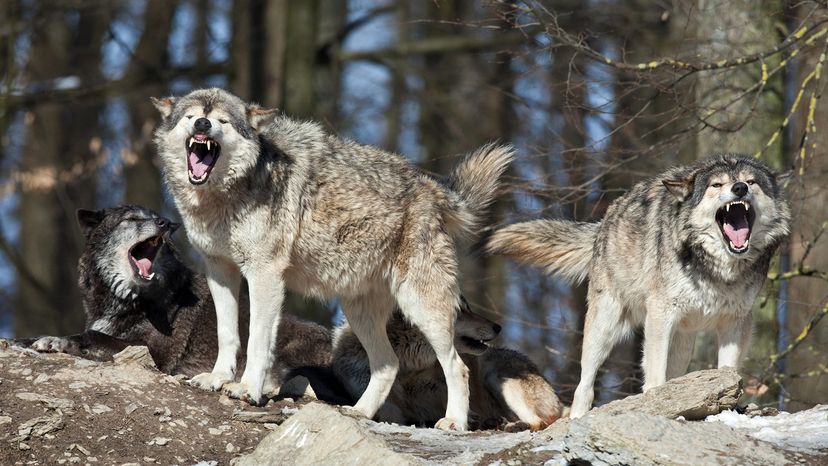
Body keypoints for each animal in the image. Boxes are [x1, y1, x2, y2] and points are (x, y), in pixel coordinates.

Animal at [11, 205, 332, 396]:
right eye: (132, 219)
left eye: (155, 216)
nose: (165, 223)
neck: (129, 300)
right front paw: (32, 340)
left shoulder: (155, 354)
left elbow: (92, 336)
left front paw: (57, 342)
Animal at [150, 87, 512, 430]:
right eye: (192, 116)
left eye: (222, 121)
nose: (202, 124)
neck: (223, 195)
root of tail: (433, 189)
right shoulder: (219, 270)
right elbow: (227, 333)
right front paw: (217, 378)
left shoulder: (264, 274)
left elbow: (257, 340)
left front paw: (247, 388)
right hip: (359, 312)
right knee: (388, 364)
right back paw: (359, 412)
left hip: (423, 309)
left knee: (457, 367)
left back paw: (454, 422)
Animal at [330, 296, 564, 432]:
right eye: (459, 310)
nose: (498, 327)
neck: (407, 366)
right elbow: (387, 410)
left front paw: (465, 419)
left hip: (497, 377)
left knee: (539, 422)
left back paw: (511, 425)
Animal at [488, 154, 792, 418]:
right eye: (716, 185)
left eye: (751, 181)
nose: (739, 188)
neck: (718, 269)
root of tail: (604, 221)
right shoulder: (659, 314)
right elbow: (655, 372)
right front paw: (656, 402)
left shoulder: (736, 321)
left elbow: (728, 369)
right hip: (605, 326)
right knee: (584, 383)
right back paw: (578, 416)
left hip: (684, 341)